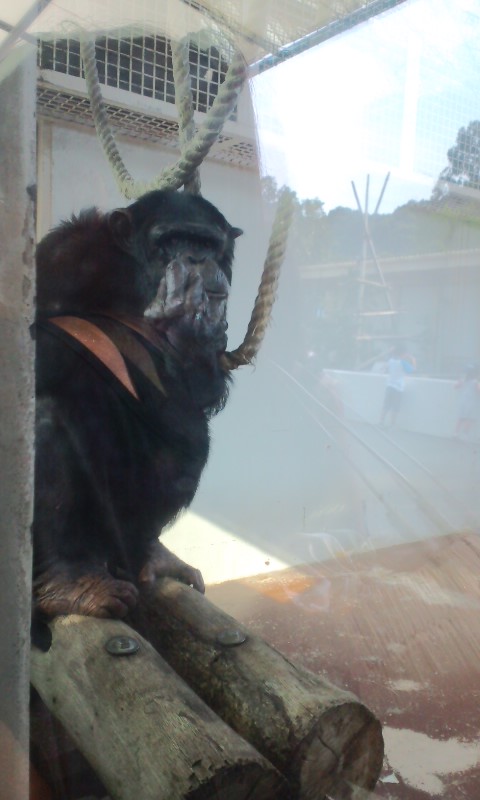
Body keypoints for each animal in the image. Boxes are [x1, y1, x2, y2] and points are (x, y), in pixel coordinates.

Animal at [32, 189, 242, 637]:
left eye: (206, 243)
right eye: (173, 240)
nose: (194, 259)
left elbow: (202, 391)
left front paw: (188, 332)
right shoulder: (65, 254)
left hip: (120, 532)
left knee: (189, 439)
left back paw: (153, 553)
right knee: (46, 417)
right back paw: (68, 582)